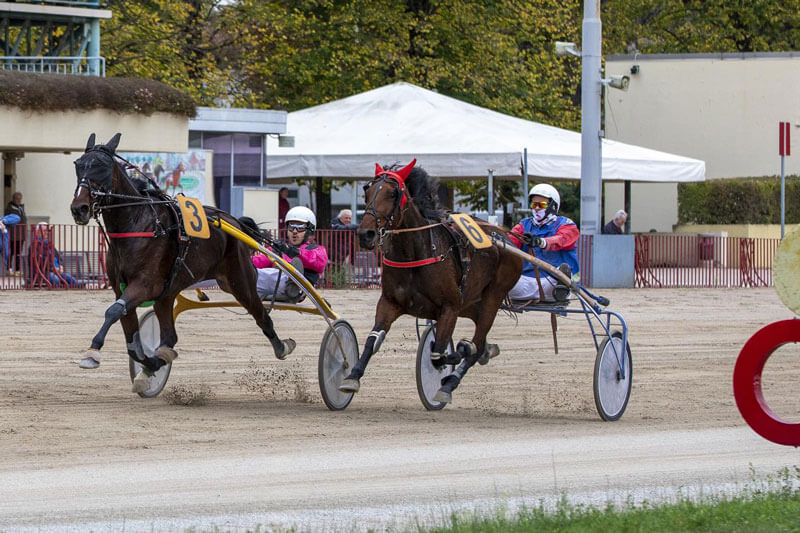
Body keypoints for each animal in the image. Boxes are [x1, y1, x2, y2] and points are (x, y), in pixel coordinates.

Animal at [70, 133, 296, 390]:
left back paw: (282, 346)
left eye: (103, 167)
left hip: (240, 281)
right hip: (168, 294)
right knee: (170, 336)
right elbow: (132, 340)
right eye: (78, 164)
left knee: (262, 316)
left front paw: (92, 352)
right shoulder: (124, 288)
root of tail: (235, 221)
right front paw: (152, 364)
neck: (138, 225)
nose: (79, 208)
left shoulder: (146, 285)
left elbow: (113, 312)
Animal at [340, 160, 520, 402]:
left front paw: (458, 353)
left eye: (392, 193)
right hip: (471, 303)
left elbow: (438, 353)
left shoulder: (450, 307)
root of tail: (505, 236)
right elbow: (372, 340)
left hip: (493, 296)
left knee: (477, 341)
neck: (415, 253)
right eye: (367, 191)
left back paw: (450, 382)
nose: (365, 234)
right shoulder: (389, 302)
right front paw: (352, 377)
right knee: (480, 341)